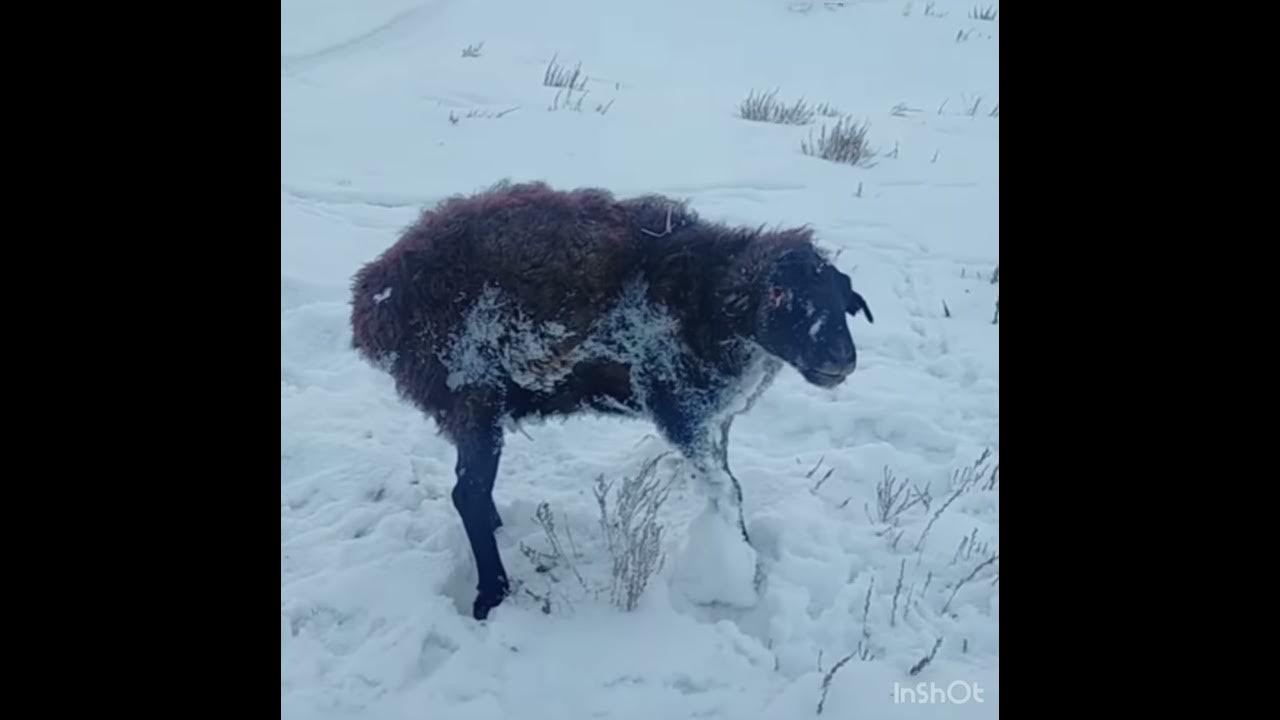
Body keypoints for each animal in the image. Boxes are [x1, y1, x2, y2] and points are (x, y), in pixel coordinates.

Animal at [348, 179, 870, 617]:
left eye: (841, 300)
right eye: (780, 294)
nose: (841, 358)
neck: (708, 298)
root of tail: (375, 294)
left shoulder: (717, 420)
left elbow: (728, 482)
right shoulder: (681, 409)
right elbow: (728, 490)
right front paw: (740, 573)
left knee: (471, 489)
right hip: (472, 392)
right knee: (468, 493)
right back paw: (492, 592)